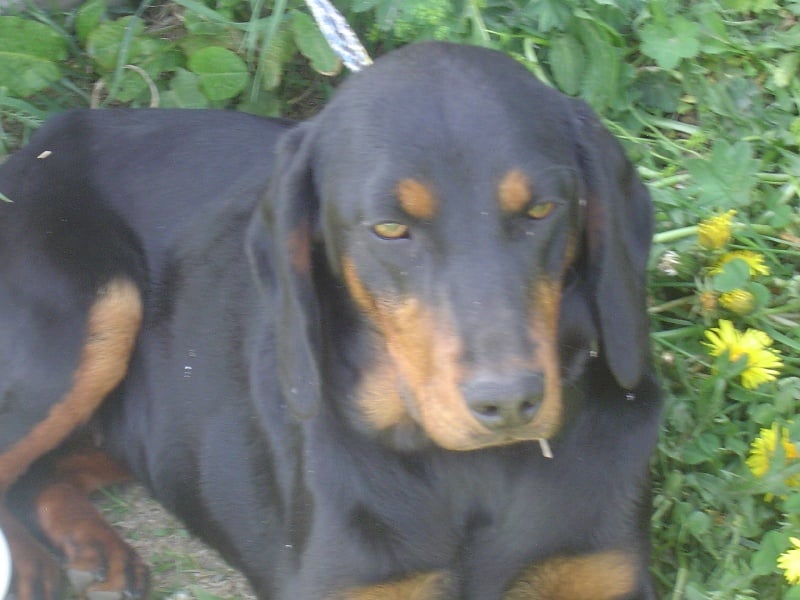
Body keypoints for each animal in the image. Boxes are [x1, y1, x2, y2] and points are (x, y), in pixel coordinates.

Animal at [0, 41, 661, 599]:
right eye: (389, 228)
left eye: (542, 210)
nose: (509, 404)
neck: (468, 476)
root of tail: (41, 141)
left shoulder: (603, 574)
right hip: (93, 318)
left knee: (42, 474)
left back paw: (93, 550)